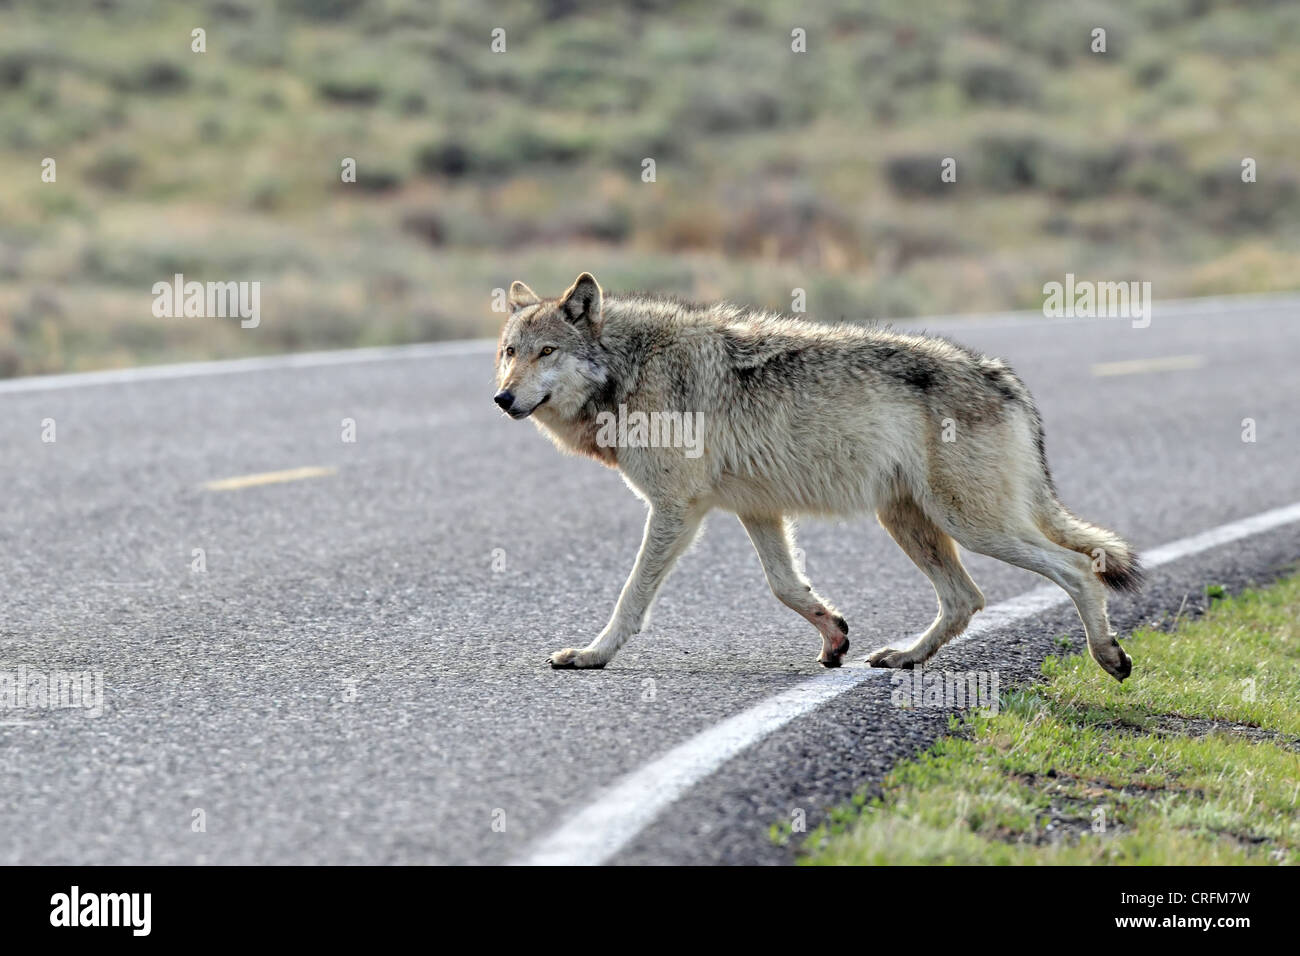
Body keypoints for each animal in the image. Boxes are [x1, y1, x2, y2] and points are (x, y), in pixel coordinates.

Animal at [491, 273, 1144, 686]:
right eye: (509, 352)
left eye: (547, 351)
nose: (502, 399)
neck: (628, 370)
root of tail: (1001, 376)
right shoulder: (755, 509)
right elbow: (786, 586)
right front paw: (834, 636)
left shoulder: (677, 509)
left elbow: (631, 596)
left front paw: (593, 655)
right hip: (909, 520)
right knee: (967, 598)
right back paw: (906, 657)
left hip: (971, 524)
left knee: (1077, 568)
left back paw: (1110, 657)